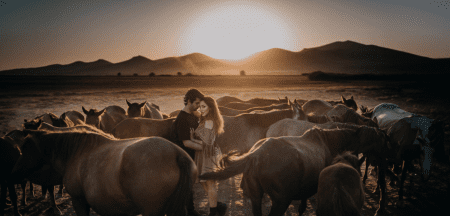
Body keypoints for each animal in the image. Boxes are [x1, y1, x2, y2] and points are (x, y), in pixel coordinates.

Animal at [200, 126, 386, 216]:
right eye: (375, 139)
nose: (382, 155)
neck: (328, 142)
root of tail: (256, 155)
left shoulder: (304, 190)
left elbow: (302, 207)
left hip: (256, 196)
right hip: (281, 201)